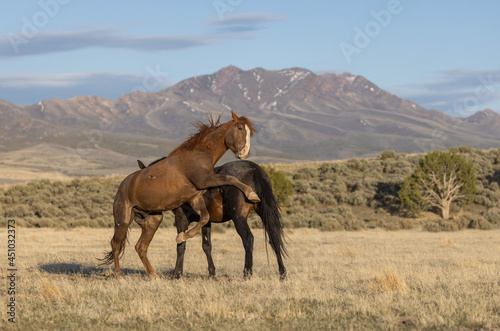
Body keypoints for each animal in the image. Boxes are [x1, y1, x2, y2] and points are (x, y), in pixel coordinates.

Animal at [100, 110, 258, 278]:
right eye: (240, 128)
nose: (244, 152)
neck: (199, 154)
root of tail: (123, 185)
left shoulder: (196, 197)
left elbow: (205, 217)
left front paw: (182, 236)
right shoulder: (205, 180)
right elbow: (230, 178)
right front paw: (252, 194)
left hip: (153, 220)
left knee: (140, 247)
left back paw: (154, 276)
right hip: (123, 220)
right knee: (115, 244)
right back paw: (119, 276)